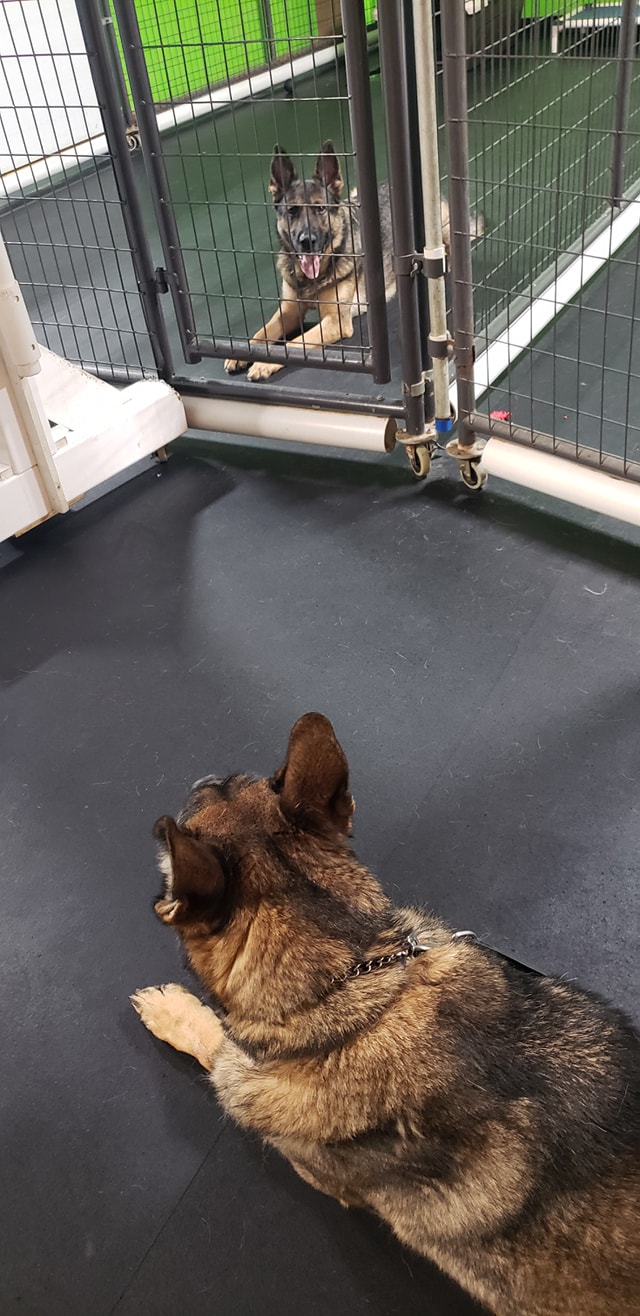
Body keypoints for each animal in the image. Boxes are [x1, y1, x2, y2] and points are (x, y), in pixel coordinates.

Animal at [132, 713, 640, 1316]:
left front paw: (173, 1013)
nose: (204, 777)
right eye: (232, 784)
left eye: (194, 810)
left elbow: (218, 1044)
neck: (354, 987)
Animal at [223, 142, 482, 382]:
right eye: (292, 211)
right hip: (357, 194)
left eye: (320, 209)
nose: (307, 241)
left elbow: (296, 343)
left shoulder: (336, 322)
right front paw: (244, 352)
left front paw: (262, 364)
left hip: (441, 230)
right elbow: (263, 331)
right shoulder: (288, 311)